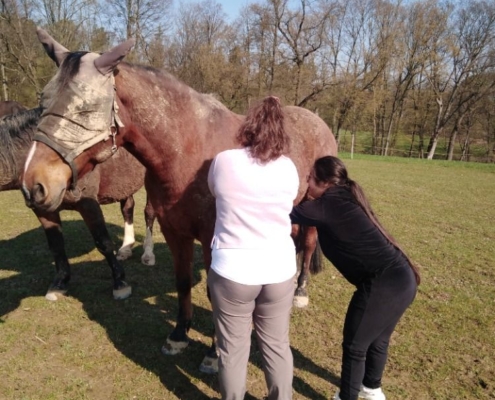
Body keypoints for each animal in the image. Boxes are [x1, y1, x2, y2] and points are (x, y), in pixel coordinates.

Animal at [0, 106, 157, 300]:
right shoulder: (44, 211)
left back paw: (148, 254)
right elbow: (57, 246)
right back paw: (126, 249)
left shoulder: (88, 203)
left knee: (149, 213)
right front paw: (60, 283)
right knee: (127, 208)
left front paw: (120, 283)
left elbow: (103, 242)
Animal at [19, 29, 338, 374]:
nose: (34, 184)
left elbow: (215, 294)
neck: (188, 152)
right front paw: (179, 335)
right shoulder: (175, 231)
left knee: (307, 247)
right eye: (43, 101)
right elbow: (184, 282)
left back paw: (300, 292)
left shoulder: (215, 241)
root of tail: (318, 122)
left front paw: (214, 354)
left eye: (85, 109)